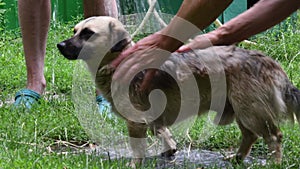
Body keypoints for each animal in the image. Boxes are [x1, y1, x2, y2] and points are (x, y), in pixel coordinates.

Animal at [56, 16, 300, 166]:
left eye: (88, 33)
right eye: (75, 31)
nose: (59, 45)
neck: (119, 61)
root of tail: (269, 62)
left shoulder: (136, 122)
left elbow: (138, 148)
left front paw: (135, 164)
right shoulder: (151, 117)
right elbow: (161, 130)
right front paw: (170, 148)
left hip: (252, 112)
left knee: (274, 137)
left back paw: (274, 163)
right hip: (242, 110)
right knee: (250, 136)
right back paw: (238, 158)